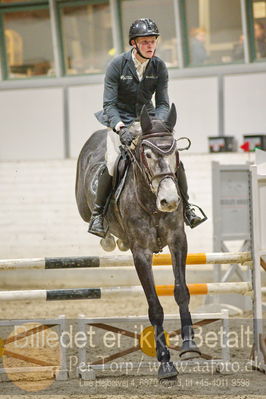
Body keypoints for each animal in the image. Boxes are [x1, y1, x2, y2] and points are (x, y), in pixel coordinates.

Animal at [75, 104, 200, 380]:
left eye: (175, 152)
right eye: (148, 154)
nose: (169, 201)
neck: (150, 200)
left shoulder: (178, 241)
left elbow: (181, 292)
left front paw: (190, 346)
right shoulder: (141, 252)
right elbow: (154, 306)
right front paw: (165, 363)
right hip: (84, 206)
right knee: (98, 223)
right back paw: (105, 234)